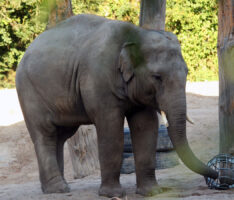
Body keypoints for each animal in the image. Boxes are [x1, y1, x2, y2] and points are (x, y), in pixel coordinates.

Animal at [15, 13, 218, 197]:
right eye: (157, 77)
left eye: (187, 72)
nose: (217, 175)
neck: (135, 34)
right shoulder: (98, 80)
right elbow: (111, 128)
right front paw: (113, 194)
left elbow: (146, 126)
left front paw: (152, 192)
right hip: (29, 92)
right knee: (45, 134)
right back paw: (58, 189)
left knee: (61, 135)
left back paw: (55, 187)